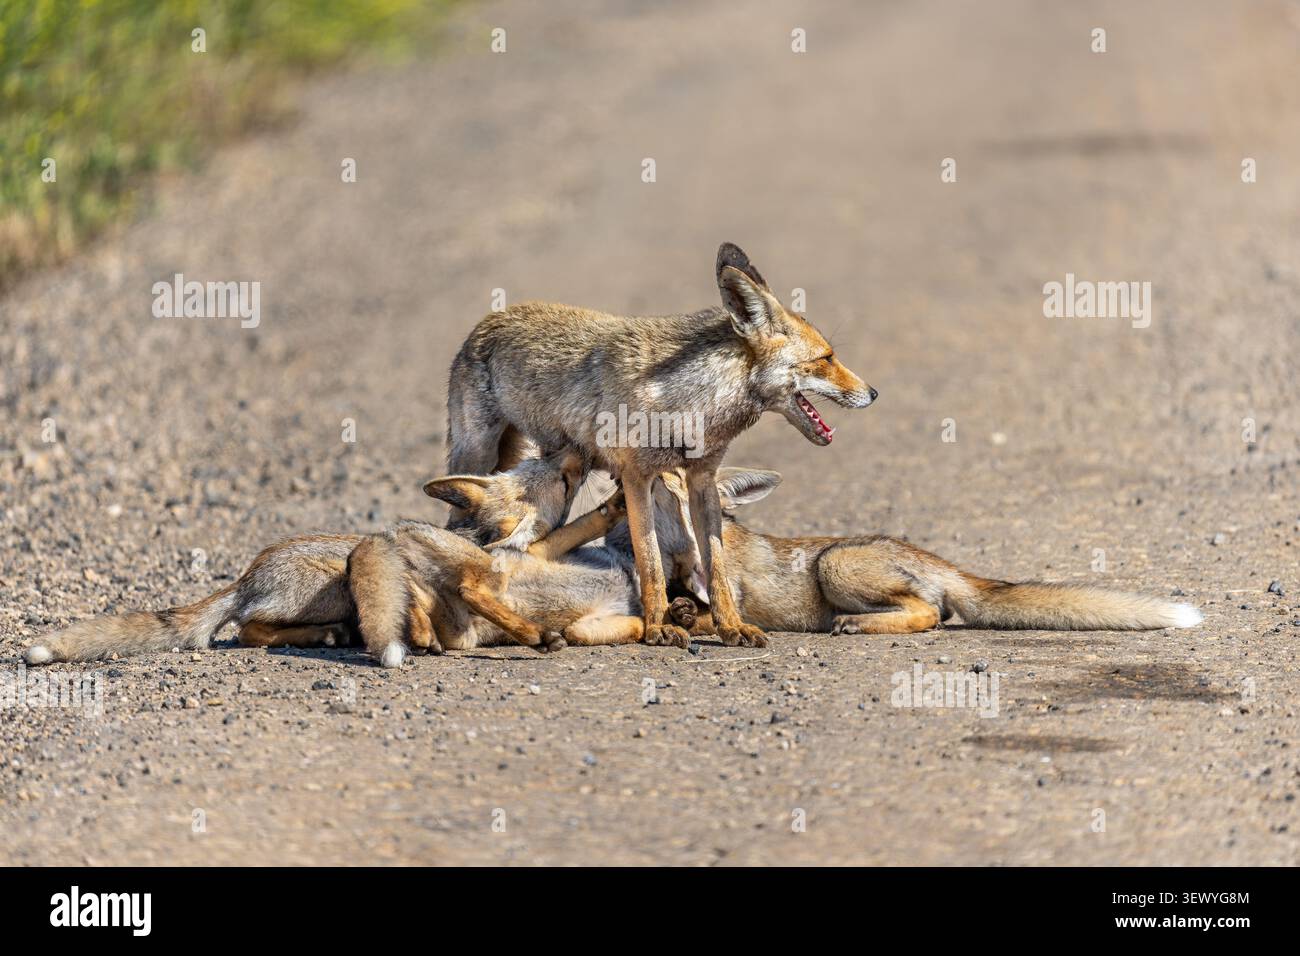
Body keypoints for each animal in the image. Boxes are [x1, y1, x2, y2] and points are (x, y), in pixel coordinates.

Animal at [446, 242, 877, 651]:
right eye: (826, 358)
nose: (873, 393)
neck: (692, 405)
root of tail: (490, 319)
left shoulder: (702, 480)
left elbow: (717, 568)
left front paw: (730, 627)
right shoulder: (638, 478)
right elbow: (650, 564)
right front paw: (657, 628)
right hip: (479, 457)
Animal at [637, 467, 1204, 635]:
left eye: (682, 474)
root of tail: (942, 562)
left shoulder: (739, 597)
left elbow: (715, 616)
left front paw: (691, 619)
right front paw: (678, 612)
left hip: (835, 565)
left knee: (931, 613)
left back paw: (858, 624)